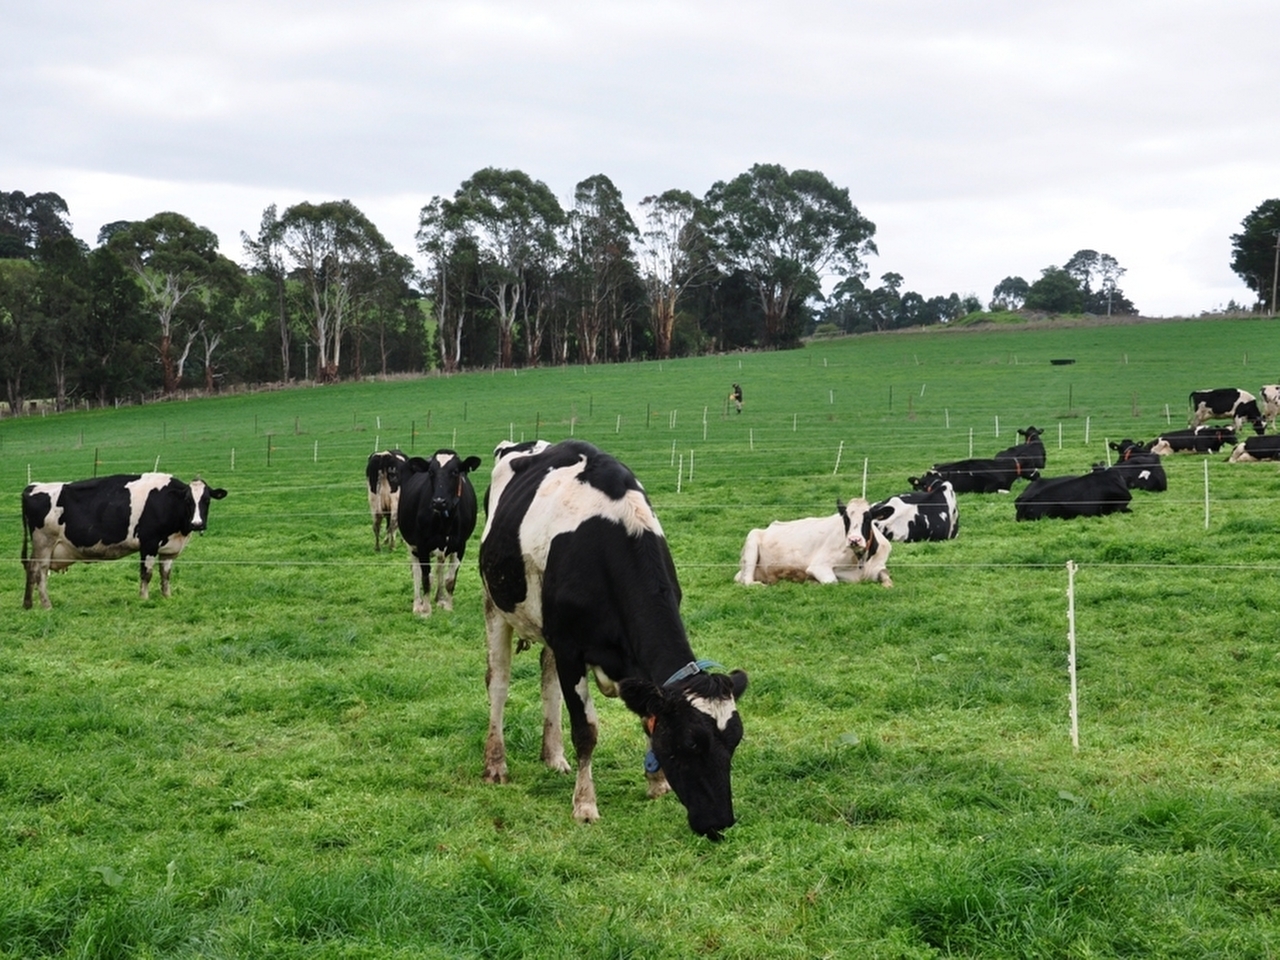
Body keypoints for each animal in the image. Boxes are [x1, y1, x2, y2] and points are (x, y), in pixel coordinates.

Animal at [21, 471, 226, 609]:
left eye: (207, 500)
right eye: (188, 500)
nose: (197, 524)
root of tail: (33, 486)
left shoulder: (169, 549)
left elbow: (165, 575)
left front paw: (167, 597)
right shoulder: (149, 543)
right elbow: (146, 574)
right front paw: (144, 599)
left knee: (31, 569)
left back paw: (28, 604)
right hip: (44, 543)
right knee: (40, 571)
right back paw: (47, 605)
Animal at [396, 450, 481, 616]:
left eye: (455, 472)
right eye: (431, 472)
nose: (439, 501)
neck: (445, 523)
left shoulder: (461, 544)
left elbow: (450, 579)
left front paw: (448, 606)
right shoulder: (422, 544)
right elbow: (426, 578)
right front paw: (426, 610)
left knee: (440, 566)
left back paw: (439, 598)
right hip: (411, 545)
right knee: (416, 571)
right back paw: (417, 604)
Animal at [476, 440, 747, 839]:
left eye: (734, 742)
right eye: (689, 743)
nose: (720, 822)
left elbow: (646, 716)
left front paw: (656, 783)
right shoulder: (571, 648)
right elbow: (586, 730)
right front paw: (585, 805)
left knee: (548, 682)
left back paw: (553, 756)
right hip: (495, 604)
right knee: (498, 683)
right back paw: (496, 764)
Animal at [737, 499, 896, 591]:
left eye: (868, 518)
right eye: (846, 519)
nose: (854, 540)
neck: (859, 562)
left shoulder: (878, 567)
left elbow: (886, 576)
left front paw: (887, 585)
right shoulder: (819, 566)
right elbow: (833, 581)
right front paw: (811, 581)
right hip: (751, 540)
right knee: (747, 581)